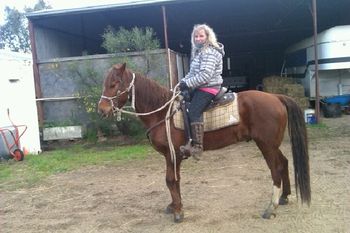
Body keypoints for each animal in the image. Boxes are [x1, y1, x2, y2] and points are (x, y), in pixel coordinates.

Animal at [97, 63, 310, 222]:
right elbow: (174, 180)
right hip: (272, 145)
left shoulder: (172, 154)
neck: (162, 112)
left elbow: (170, 180)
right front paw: (174, 206)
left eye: (115, 84)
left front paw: (178, 212)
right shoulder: (172, 155)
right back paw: (284, 197)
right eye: (105, 83)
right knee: (284, 163)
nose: (102, 109)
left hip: (266, 145)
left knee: (275, 170)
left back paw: (270, 208)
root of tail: (276, 96)